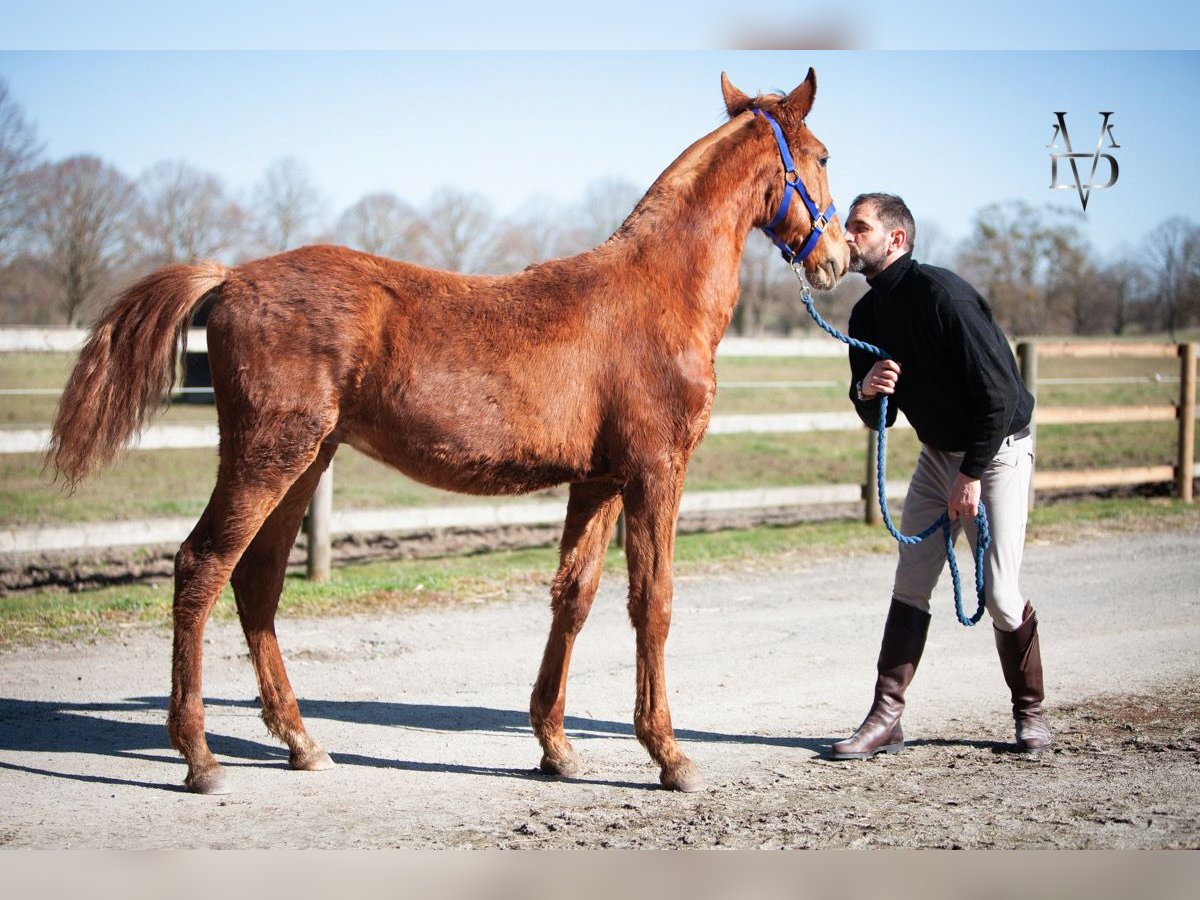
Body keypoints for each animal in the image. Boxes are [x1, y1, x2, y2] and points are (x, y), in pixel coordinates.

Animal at [51, 70, 849, 792]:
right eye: (822, 154)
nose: (837, 256)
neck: (653, 294)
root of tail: (231, 277)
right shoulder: (656, 471)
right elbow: (652, 603)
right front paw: (671, 756)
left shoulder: (599, 480)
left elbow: (575, 596)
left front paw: (556, 748)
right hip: (268, 457)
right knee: (201, 568)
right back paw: (200, 758)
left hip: (305, 462)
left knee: (257, 582)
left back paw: (302, 743)